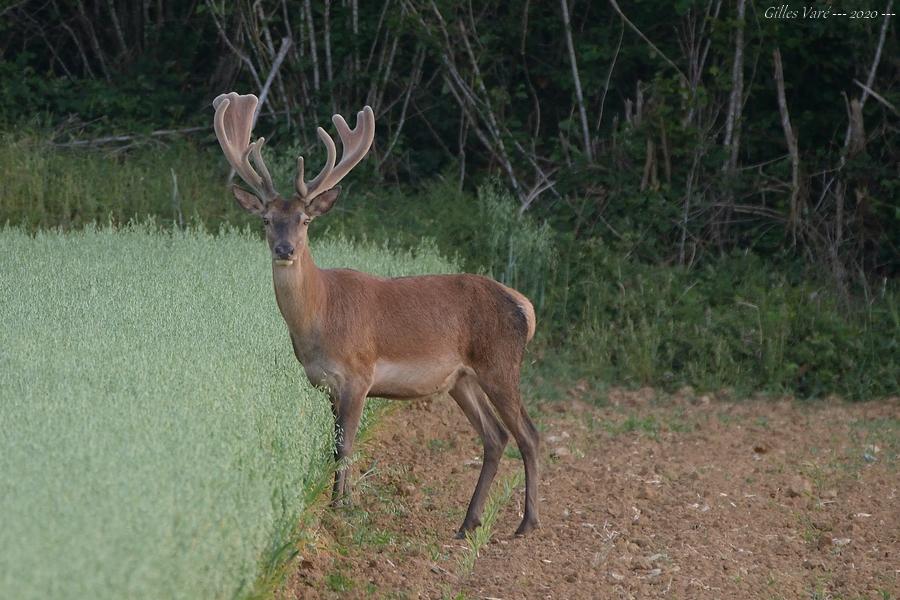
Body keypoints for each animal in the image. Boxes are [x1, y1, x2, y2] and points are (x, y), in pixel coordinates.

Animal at [211, 91, 540, 536]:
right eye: (266, 220)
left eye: (305, 219)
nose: (285, 249)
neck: (320, 316)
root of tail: (524, 305)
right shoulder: (327, 384)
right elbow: (334, 446)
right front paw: (340, 503)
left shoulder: (358, 374)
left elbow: (346, 445)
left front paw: (340, 509)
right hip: (461, 380)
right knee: (494, 437)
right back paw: (467, 523)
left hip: (500, 364)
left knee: (529, 434)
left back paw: (527, 523)